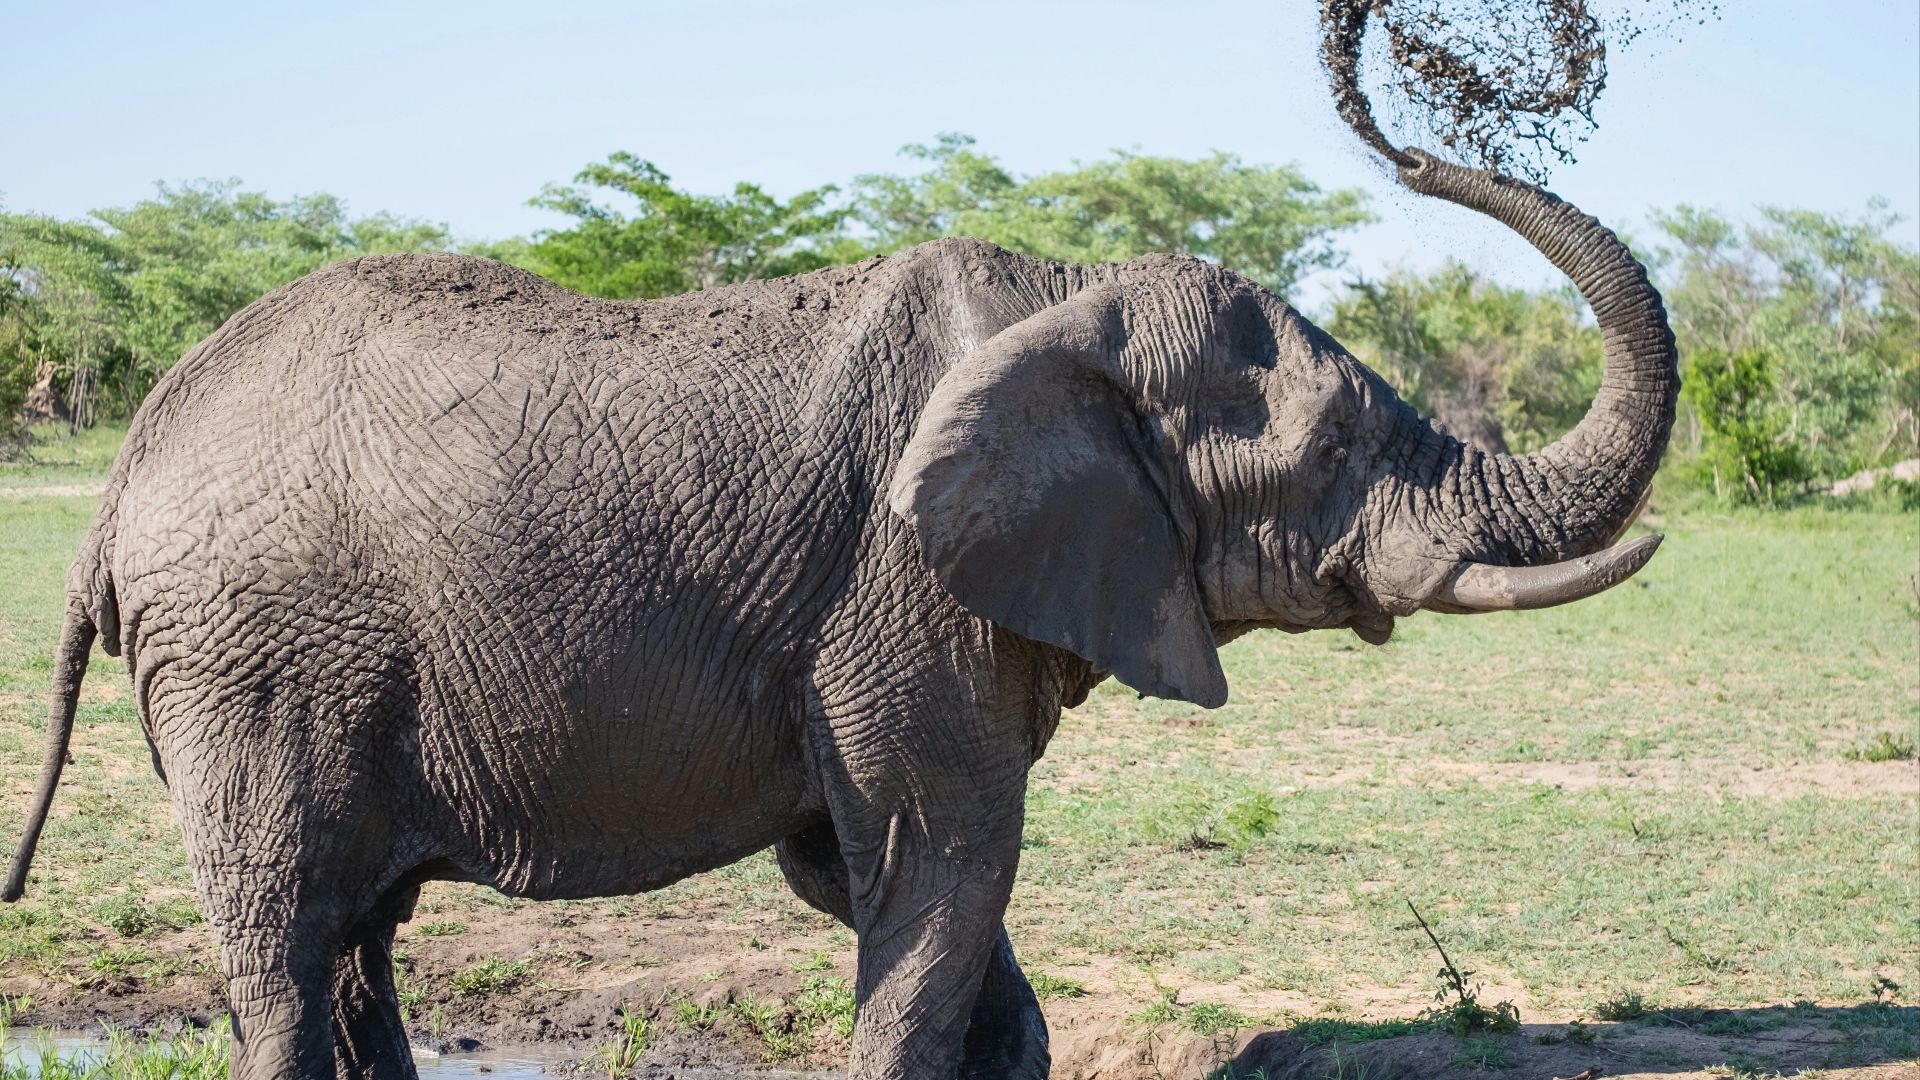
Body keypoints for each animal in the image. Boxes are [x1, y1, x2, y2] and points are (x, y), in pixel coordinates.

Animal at [5, 108, 1674, 1080]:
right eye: (1328, 451)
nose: (1398, 133)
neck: (1064, 302)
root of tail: (121, 481)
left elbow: (892, 891)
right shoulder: (895, 589)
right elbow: (944, 864)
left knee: (355, 943)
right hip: (251, 666)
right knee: (289, 947)